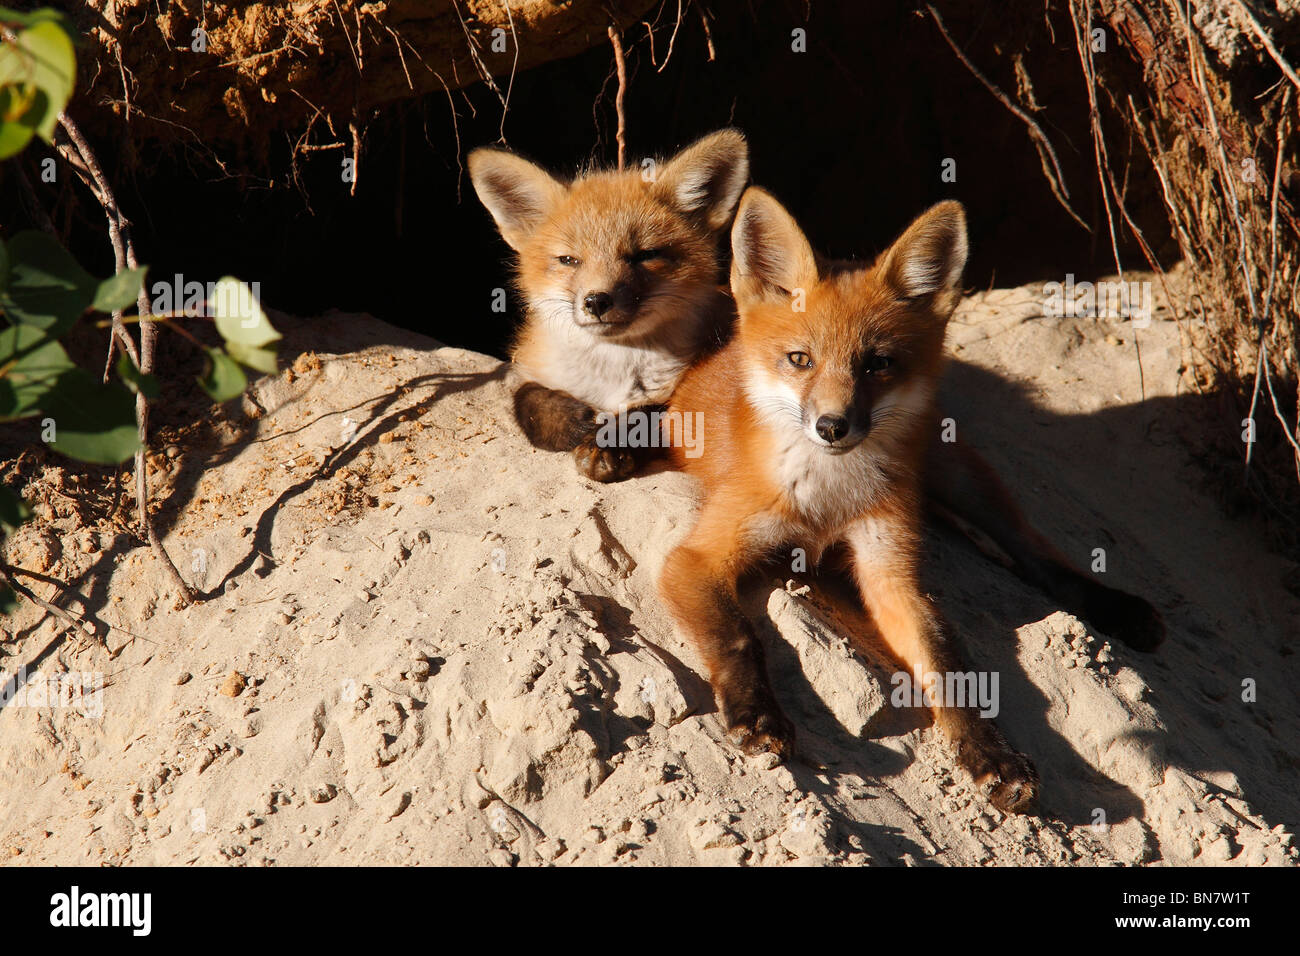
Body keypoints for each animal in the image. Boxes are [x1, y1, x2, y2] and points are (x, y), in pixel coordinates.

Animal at [467, 129, 748, 483]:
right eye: (569, 260)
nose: (597, 300)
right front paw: (573, 422)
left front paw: (608, 443)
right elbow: (525, 399)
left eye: (645, 256)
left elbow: (650, 413)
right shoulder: (529, 368)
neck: (612, 369)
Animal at [659, 189, 1045, 811]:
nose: (832, 426)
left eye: (878, 364)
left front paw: (991, 754)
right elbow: (739, 638)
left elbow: (948, 669)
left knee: (1036, 551)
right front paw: (758, 717)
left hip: (960, 475)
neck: (827, 500)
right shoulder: (696, 558)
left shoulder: (892, 573)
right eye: (801, 359)